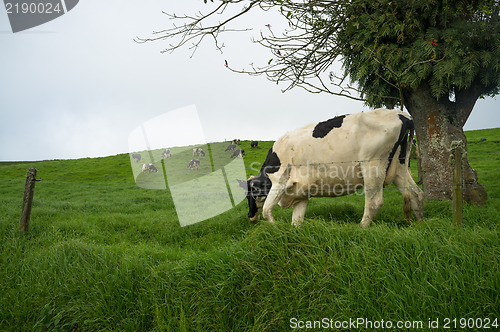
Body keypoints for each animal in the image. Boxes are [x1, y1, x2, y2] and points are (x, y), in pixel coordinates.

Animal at [241, 109, 422, 228]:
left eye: (251, 195)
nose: (249, 216)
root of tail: (403, 115)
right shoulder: (301, 193)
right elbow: (296, 222)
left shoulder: (280, 182)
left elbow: (266, 211)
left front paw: (275, 227)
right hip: (399, 168)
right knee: (416, 194)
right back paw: (419, 224)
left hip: (373, 165)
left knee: (374, 202)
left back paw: (361, 228)